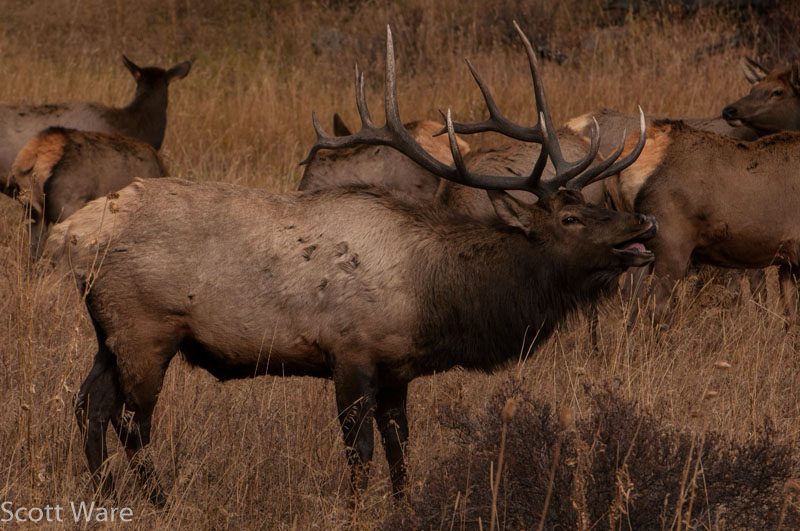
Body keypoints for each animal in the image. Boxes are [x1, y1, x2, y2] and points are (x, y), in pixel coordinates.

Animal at [45, 24, 653, 506]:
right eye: (571, 217)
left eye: (592, 205)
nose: (643, 225)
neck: (435, 296)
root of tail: (73, 233)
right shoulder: (350, 351)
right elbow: (359, 451)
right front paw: (360, 509)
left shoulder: (398, 367)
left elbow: (401, 445)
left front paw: (405, 506)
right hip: (145, 326)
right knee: (131, 420)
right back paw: (159, 500)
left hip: (109, 331)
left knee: (88, 403)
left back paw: (105, 494)